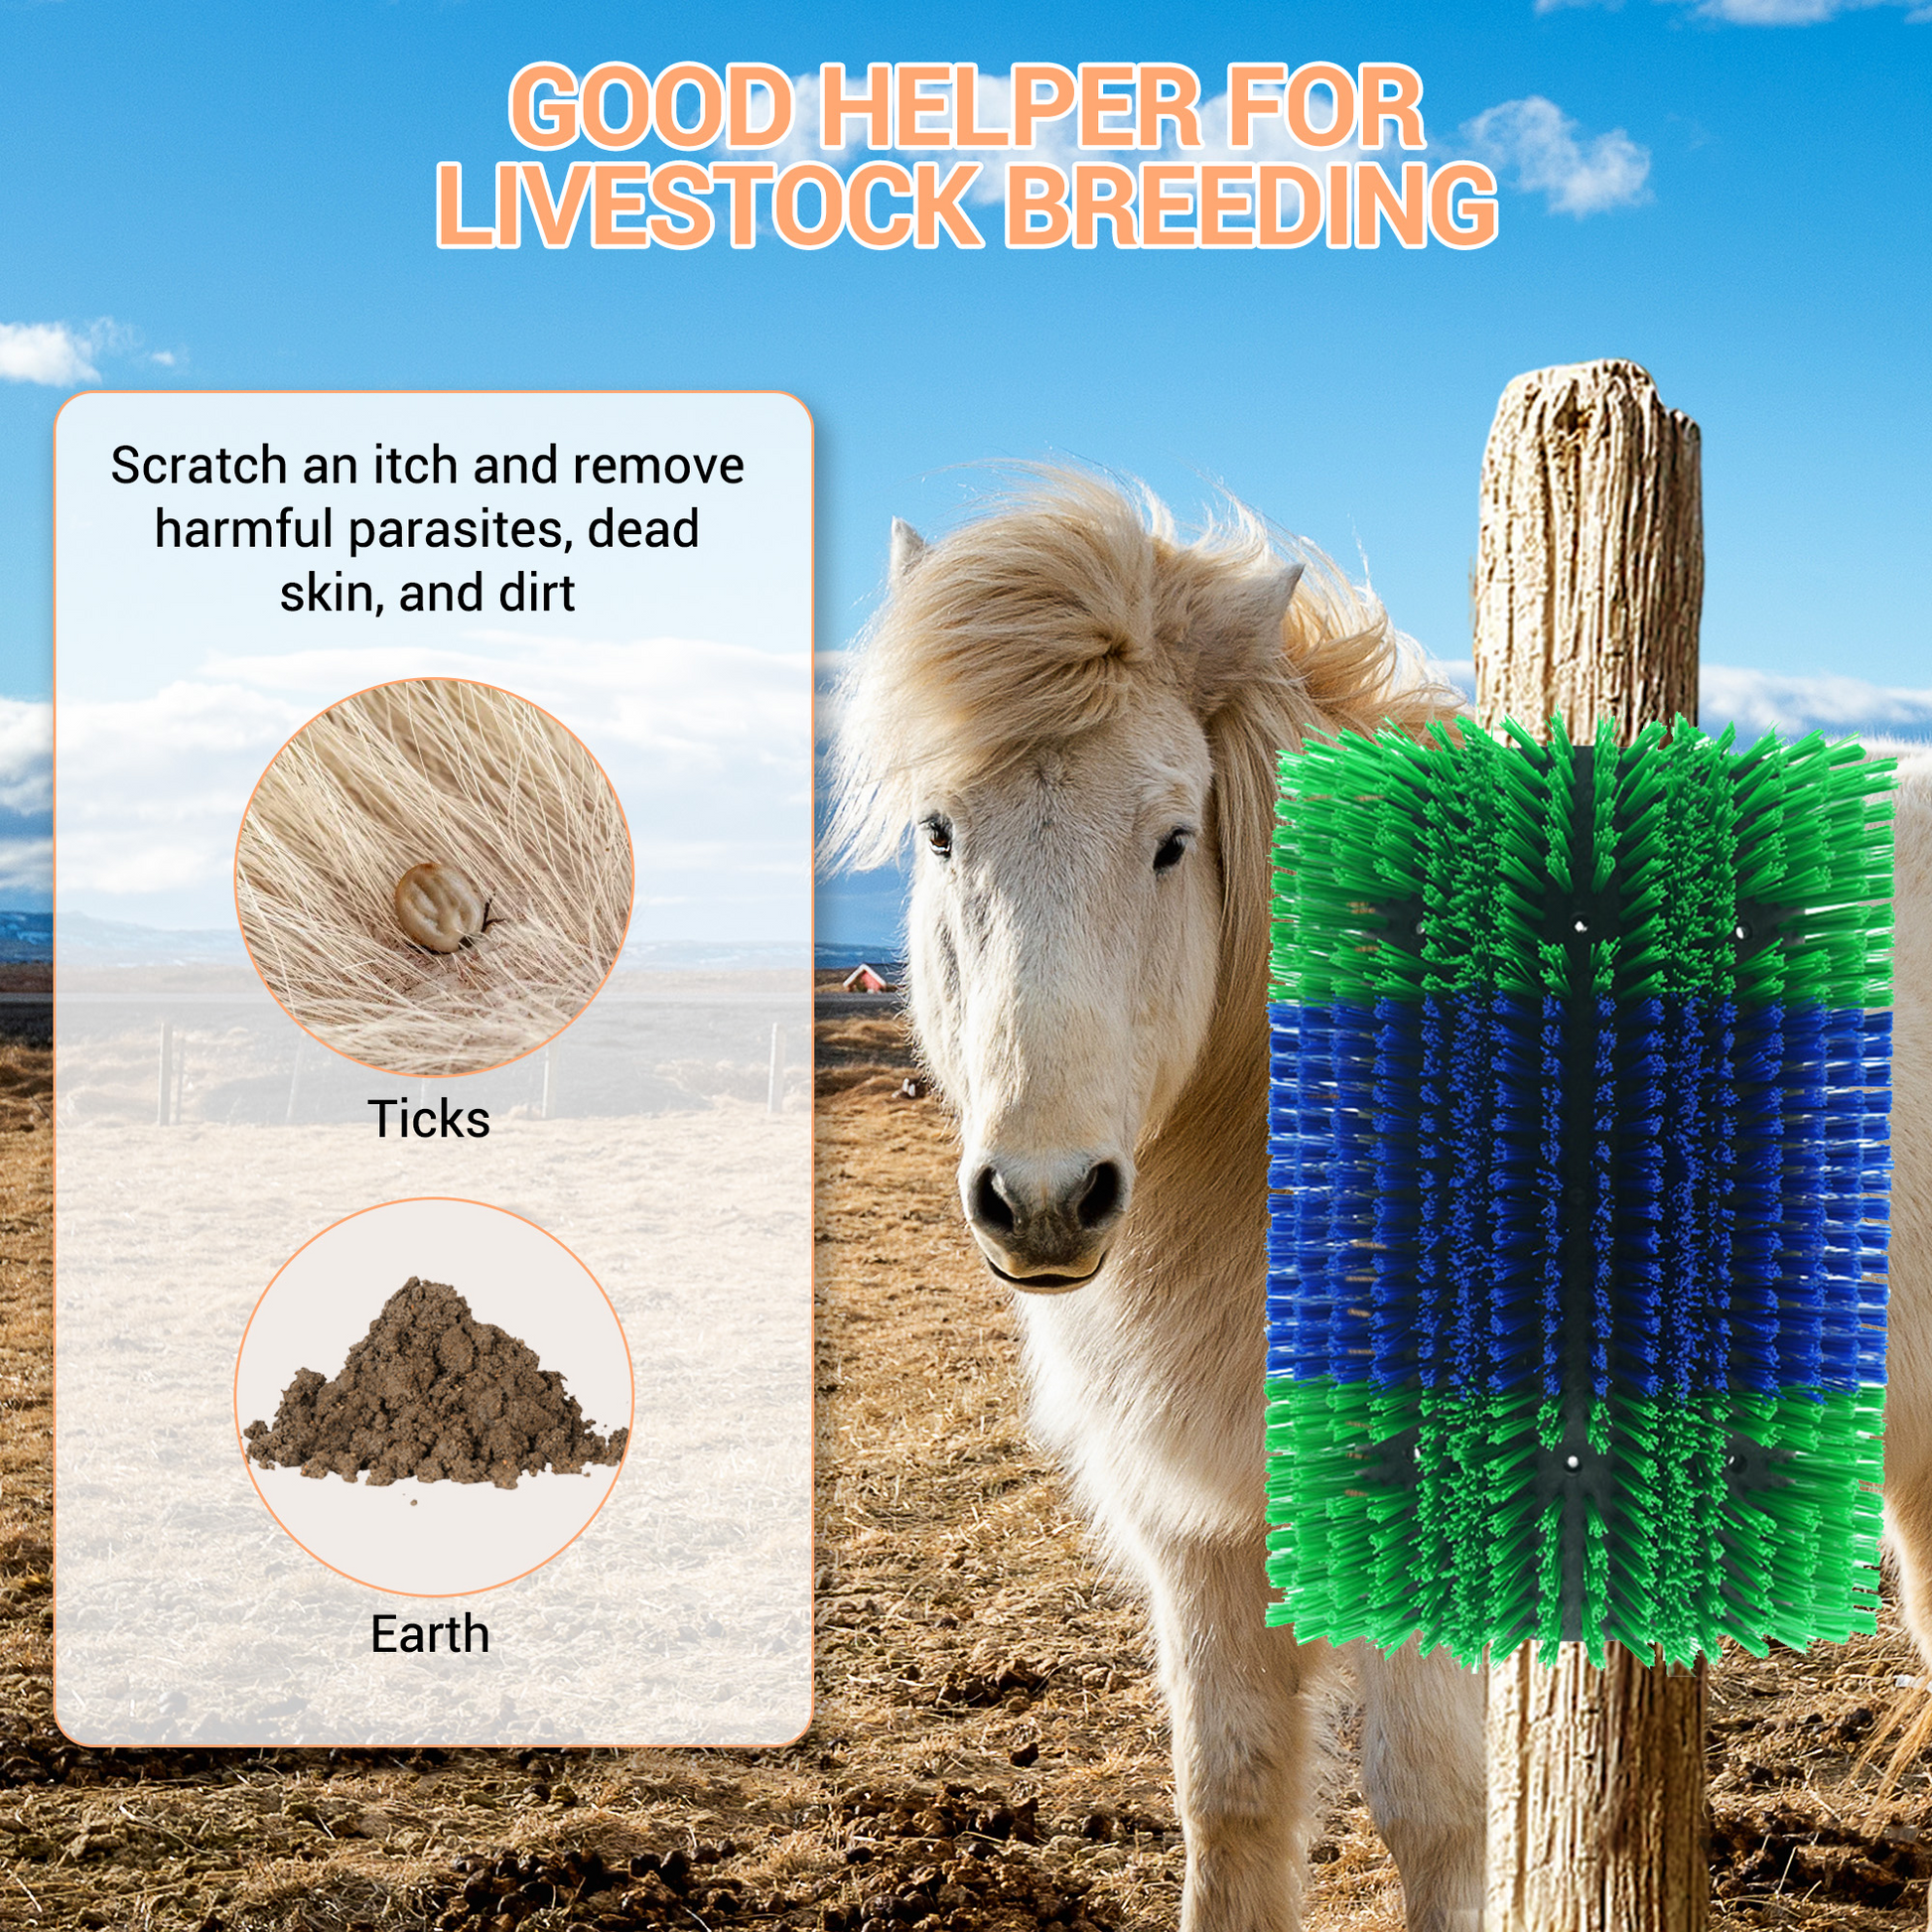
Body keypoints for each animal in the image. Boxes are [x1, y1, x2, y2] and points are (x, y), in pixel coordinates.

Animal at [828, 471, 1929, 1932]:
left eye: (1173, 839)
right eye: (941, 830)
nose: (1046, 1198)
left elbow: (1436, 1814)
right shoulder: (1201, 1536)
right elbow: (1228, 1799)